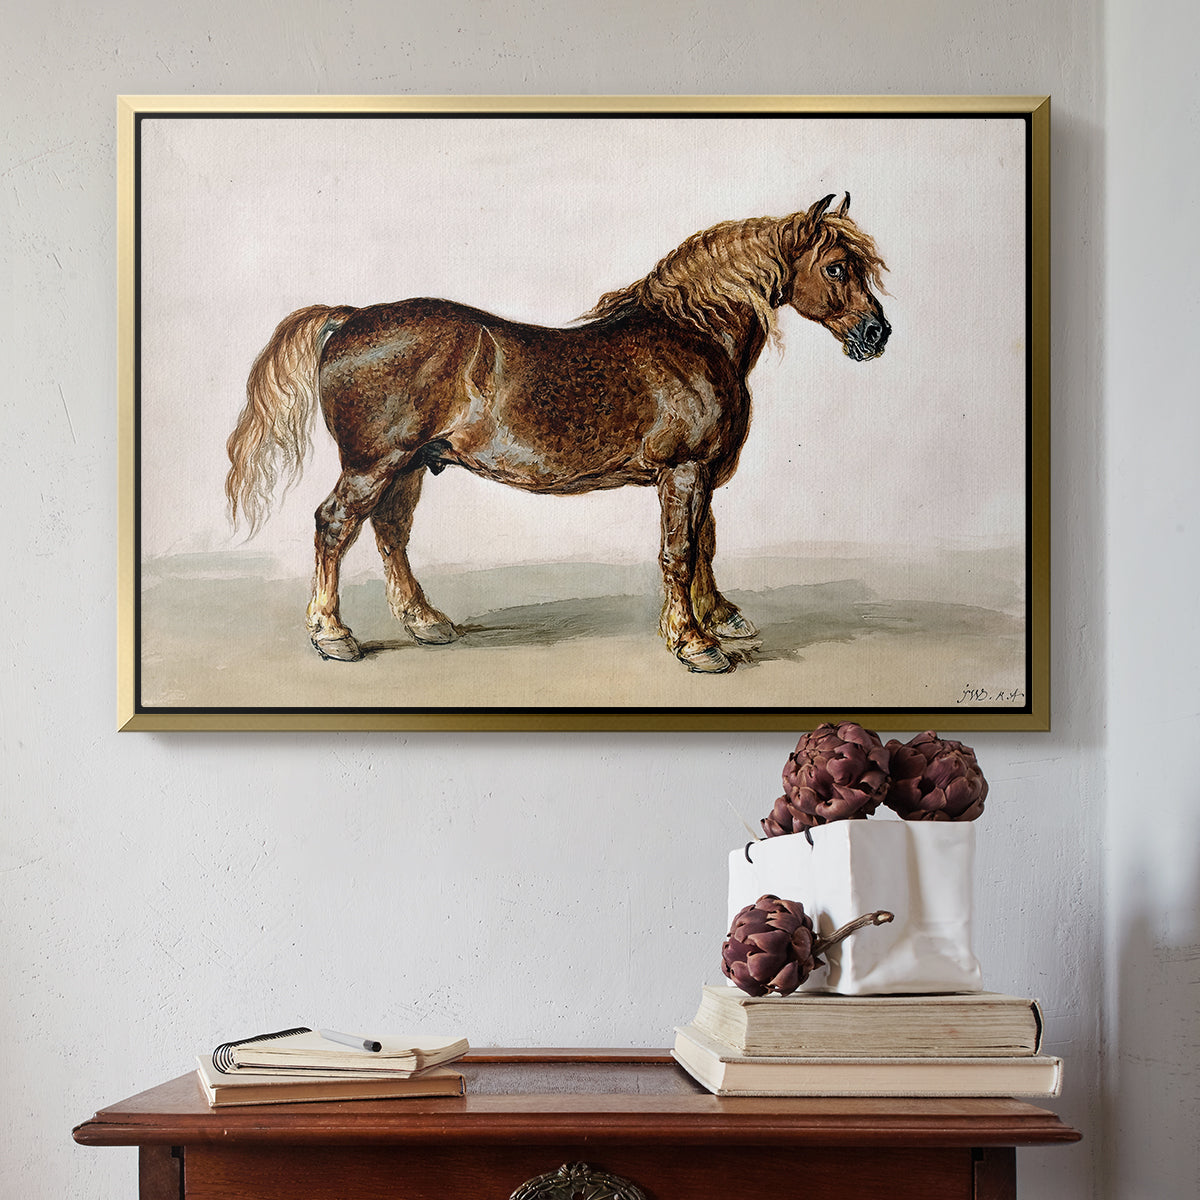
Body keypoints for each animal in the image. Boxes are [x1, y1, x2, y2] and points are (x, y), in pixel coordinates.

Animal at [225, 192, 889, 674]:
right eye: (836, 267)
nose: (876, 334)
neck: (692, 337)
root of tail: (350, 319)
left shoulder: (700, 474)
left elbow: (704, 547)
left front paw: (719, 618)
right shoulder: (684, 470)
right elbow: (679, 553)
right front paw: (695, 645)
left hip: (409, 465)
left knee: (391, 533)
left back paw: (426, 622)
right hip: (374, 463)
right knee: (336, 526)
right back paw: (333, 635)